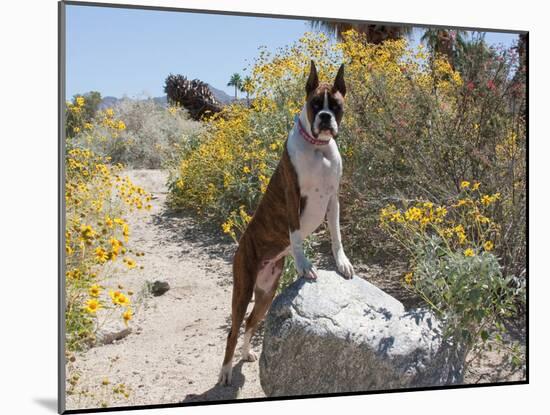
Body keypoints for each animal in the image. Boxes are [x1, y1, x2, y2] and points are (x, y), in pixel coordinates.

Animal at [218, 61, 356, 386]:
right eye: (315, 103)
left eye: (336, 105)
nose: (325, 117)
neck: (319, 148)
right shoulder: (293, 196)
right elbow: (295, 235)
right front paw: (304, 265)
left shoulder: (333, 199)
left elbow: (336, 235)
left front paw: (341, 262)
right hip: (242, 289)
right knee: (233, 330)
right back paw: (227, 370)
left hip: (267, 293)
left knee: (251, 323)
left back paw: (246, 354)